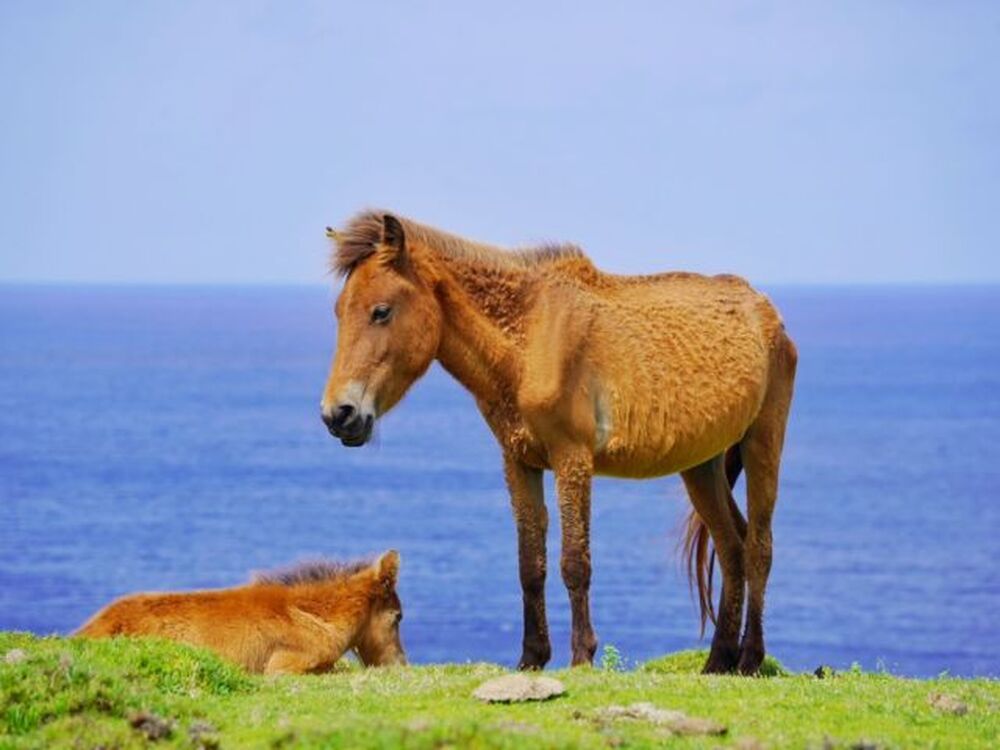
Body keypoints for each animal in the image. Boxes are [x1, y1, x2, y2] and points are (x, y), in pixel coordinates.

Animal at [320, 212, 796, 676]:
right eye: (339, 312)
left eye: (381, 311)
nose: (338, 414)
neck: (529, 340)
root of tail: (765, 309)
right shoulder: (518, 461)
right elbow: (530, 565)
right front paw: (531, 657)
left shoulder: (572, 459)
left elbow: (574, 562)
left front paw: (581, 655)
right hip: (701, 464)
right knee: (731, 548)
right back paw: (718, 662)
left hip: (763, 442)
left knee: (759, 548)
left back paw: (750, 659)